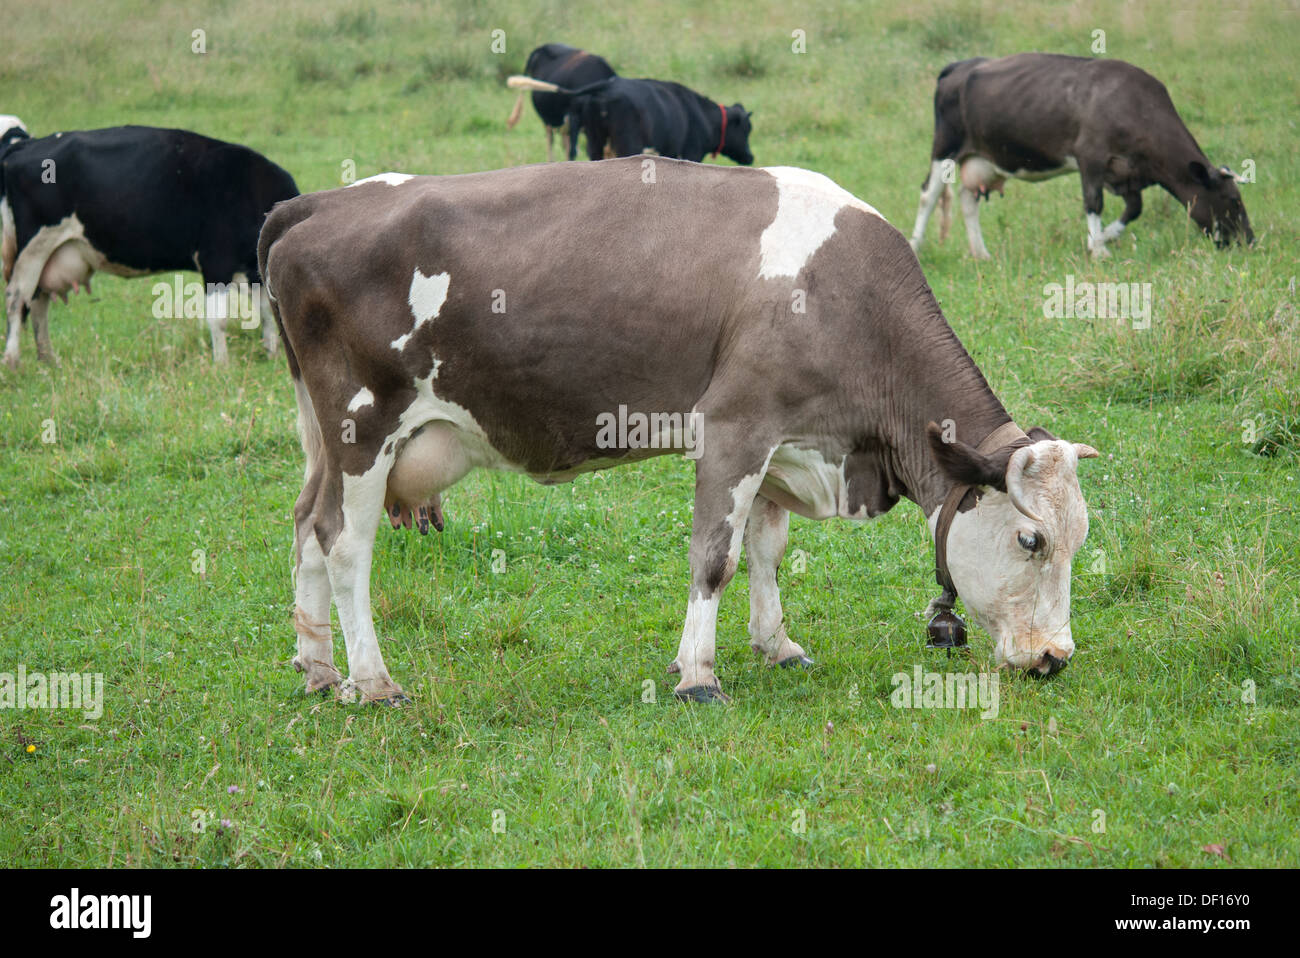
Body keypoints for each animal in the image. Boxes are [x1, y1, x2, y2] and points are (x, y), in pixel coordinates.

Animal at [1, 120, 299, 366]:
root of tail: (26, 145)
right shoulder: (215, 261)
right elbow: (219, 319)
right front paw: (222, 365)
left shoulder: (253, 272)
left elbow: (267, 313)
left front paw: (271, 354)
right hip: (33, 247)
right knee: (17, 300)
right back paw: (13, 362)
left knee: (38, 301)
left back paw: (48, 360)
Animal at [261, 158, 1097, 701]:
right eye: (1031, 539)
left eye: (1077, 539)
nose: (1056, 657)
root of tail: (315, 205)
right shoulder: (734, 429)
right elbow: (715, 558)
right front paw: (698, 675)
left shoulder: (783, 443)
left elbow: (766, 549)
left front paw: (776, 645)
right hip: (363, 427)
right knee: (343, 544)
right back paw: (372, 682)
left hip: (323, 438)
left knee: (303, 527)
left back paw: (317, 668)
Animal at [504, 75, 754, 164]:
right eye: (746, 129)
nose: (750, 157)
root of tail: (607, 85)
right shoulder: (690, 153)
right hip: (628, 143)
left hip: (595, 142)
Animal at [909, 53, 1253, 257]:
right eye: (1234, 200)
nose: (1250, 241)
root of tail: (960, 64)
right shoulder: (1091, 157)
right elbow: (1093, 203)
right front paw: (1098, 249)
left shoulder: (1127, 173)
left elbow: (1135, 209)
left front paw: (1105, 238)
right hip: (945, 148)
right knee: (928, 194)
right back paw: (915, 246)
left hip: (984, 158)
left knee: (968, 200)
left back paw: (981, 254)